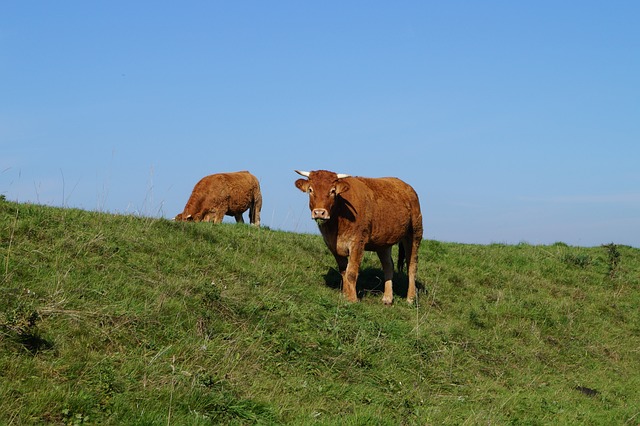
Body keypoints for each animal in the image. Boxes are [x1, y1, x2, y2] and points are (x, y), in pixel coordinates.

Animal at [296, 168, 424, 304]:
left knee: (412, 265)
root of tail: (407, 187)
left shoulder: (358, 242)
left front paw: (352, 299)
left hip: (415, 233)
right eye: (310, 190)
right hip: (383, 243)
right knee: (388, 265)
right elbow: (344, 271)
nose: (319, 212)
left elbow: (351, 272)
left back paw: (410, 298)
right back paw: (388, 298)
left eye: (332, 191)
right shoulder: (332, 245)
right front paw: (345, 295)